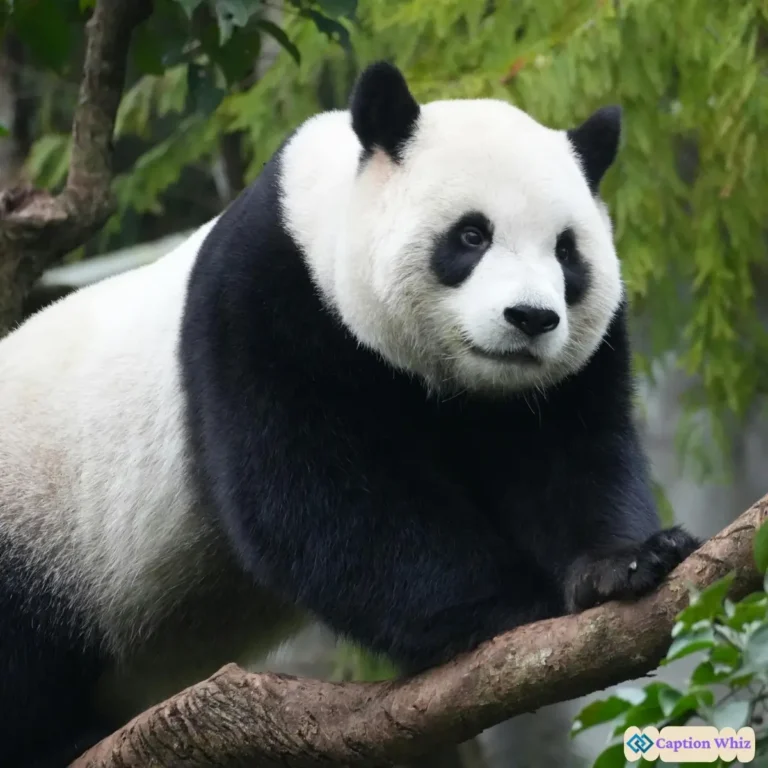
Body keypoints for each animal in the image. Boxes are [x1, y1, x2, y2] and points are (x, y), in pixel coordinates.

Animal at [0, 61, 700, 767]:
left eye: (566, 252)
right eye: (472, 235)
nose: (531, 318)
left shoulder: (557, 379)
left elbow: (571, 459)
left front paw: (625, 564)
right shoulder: (268, 303)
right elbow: (318, 493)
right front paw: (513, 605)